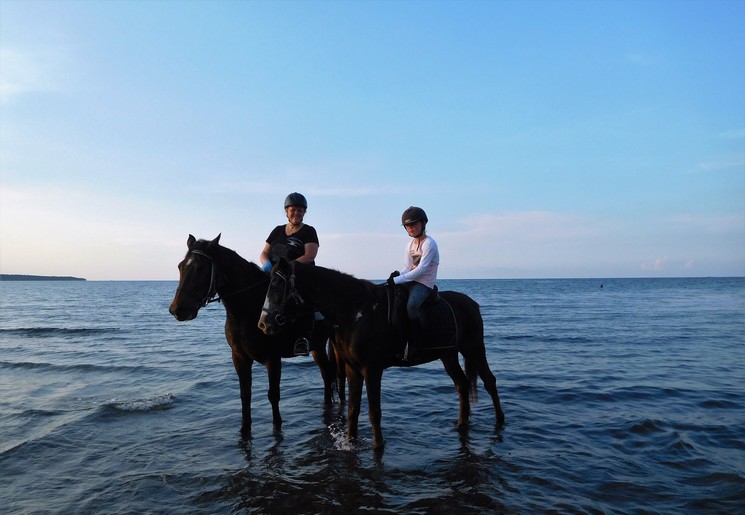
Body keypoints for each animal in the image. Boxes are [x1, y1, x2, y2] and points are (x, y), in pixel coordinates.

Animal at [169, 236, 340, 438]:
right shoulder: (239, 357)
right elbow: (245, 395)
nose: (177, 310)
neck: (248, 309)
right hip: (318, 346)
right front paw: (245, 429)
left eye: (200, 268)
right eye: (180, 266)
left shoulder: (273, 359)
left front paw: (277, 426)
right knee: (327, 374)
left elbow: (273, 395)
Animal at [258, 260, 506, 450]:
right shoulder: (352, 369)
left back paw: (500, 421)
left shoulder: (372, 369)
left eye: (277, 285)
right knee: (462, 384)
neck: (355, 312)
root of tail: (472, 304)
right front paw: (350, 441)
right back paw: (462, 422)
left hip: (474, 348)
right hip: (449, 355)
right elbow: (353, 409)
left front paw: (378, 446)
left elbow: (373, 411)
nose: (263, 324)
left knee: (489, 381)